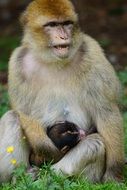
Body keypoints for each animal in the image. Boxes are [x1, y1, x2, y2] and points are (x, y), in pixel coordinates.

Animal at [0, 0, 124, 183]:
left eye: (66, 24)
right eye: (52, 25)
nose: (64, 36)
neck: (53, 61)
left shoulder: (92, 53)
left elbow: (106, 111)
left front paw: (113, 174)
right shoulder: (17, 61)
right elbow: (24, 112)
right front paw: (47, 150)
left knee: (94, 143)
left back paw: (46, 176)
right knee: (12, 117)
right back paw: (19, 176)